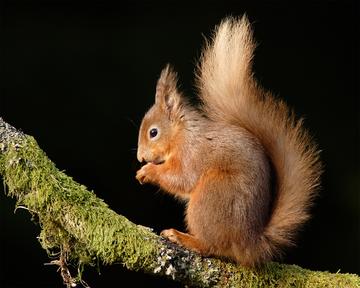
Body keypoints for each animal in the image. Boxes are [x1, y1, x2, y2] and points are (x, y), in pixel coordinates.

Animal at [135, 16, 320, 268]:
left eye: (153, 132)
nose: (140, 157)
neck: (183, 132)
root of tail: (249, 242)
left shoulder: (192, 153)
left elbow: (182, 178)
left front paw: (148, 171)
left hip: (212, 195)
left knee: (211, 246)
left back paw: (184, 238)